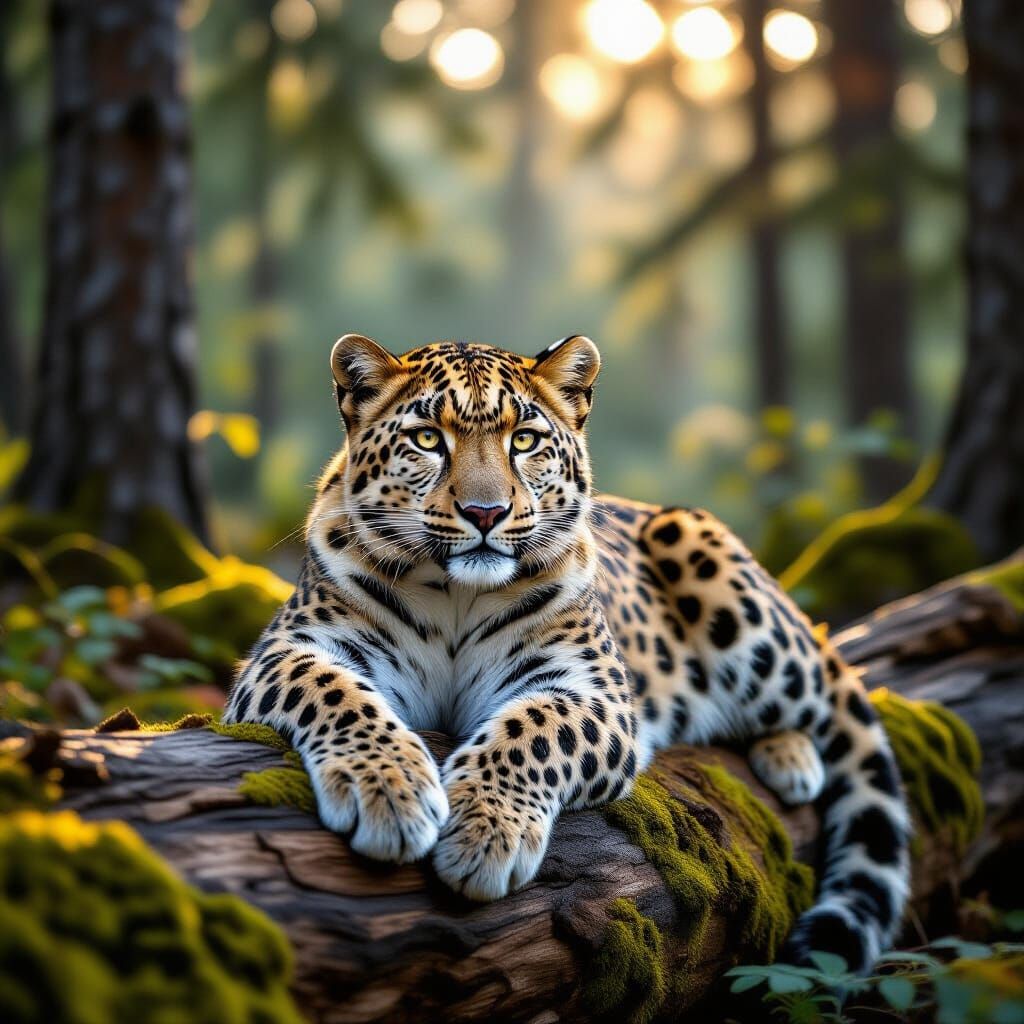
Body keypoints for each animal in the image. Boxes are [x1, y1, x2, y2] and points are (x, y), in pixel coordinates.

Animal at [224, 332, 910, 971]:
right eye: (426, 439)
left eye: (525, 440)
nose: (485, 512)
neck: (455, 593)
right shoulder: (287, 651)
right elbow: (336, 694)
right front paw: (389, 791)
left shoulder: (591, 690)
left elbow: (532, 730)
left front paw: (483, 831)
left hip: (723, 580)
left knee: (829, 701)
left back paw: (792, 755)